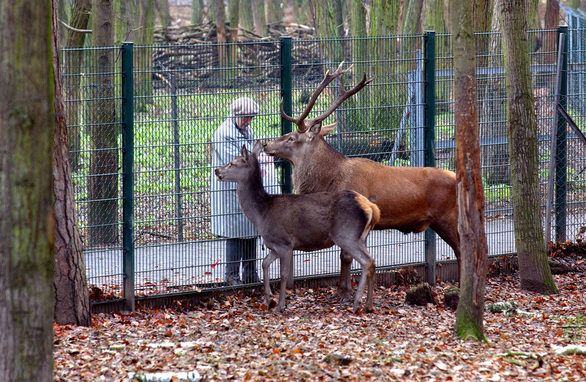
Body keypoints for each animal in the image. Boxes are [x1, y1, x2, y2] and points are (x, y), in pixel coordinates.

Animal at [214, 142, 378, 312]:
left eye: (232, 163)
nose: (216, 170)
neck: (262, 213)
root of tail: (371, 207)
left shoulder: (284, 243)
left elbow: (284, 274)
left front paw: (280, 306)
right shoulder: (274, 246)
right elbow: (264, 263)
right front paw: (268, 298)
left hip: (346, 235)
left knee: (366, 261)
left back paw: (357, 303)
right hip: (361, 237)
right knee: (372, 262)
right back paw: (368, 305)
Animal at [262, 62, 458, 300]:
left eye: (291, 138)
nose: (266, 144)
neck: (330, 181)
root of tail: (458, 178)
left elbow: (346, 257)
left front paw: (344, 292)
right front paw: (341, 290)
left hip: (447, 217)